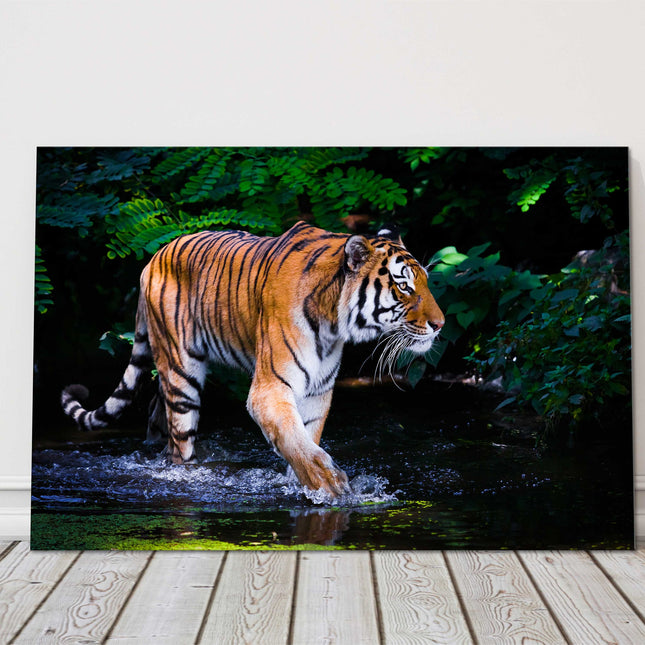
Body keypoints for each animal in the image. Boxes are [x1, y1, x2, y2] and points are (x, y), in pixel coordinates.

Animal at [61, 221, 445, 497]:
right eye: (404, 287)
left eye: (425, 282)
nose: (440, 325)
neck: (333, 323)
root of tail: (152, 258)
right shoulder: (270, 388)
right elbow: (295, 440)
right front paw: (327, 483)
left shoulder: (318, 392)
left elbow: (304, 437)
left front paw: (303, 484)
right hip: (181, 372)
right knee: (180, 441)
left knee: (159, 419)